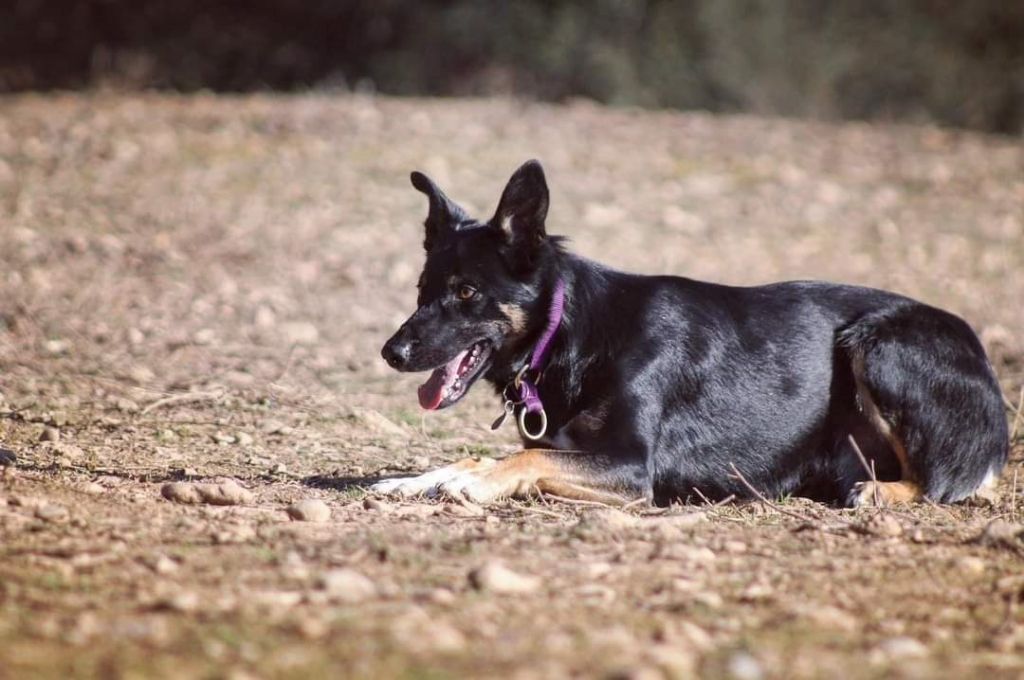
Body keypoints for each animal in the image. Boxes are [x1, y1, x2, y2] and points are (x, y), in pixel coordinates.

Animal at [374, 156, 1007, 501]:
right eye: (422, 290)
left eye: (466, 293)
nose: (391, 352)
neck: (572, 332)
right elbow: (481, 457)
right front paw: (417, 479)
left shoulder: (631, 466)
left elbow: (524, 461)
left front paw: (468, 483)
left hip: (878, 344)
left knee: (941, 479)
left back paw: (881, 492)